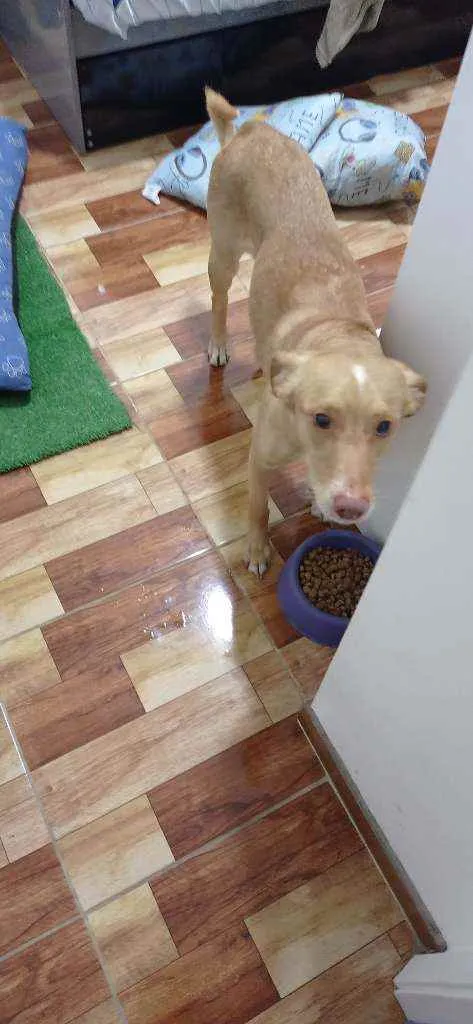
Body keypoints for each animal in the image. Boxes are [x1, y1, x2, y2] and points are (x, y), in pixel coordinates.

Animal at [205, 87, 426, 576]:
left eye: (385, 427)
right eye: (321, 419)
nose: (351, 508)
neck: (339, 336)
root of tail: (248, 131)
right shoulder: (260, 455)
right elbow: (257, 507)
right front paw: (257, 551)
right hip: (223, 253)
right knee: (219, 301)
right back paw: (218, 345)